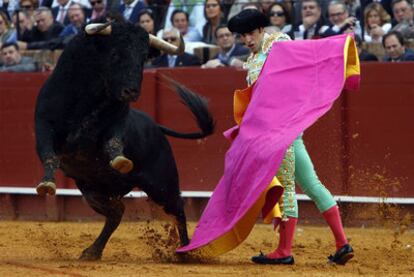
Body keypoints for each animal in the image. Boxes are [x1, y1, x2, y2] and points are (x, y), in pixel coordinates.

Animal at [34, 21, 215, 258]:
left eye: (143, 57)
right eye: (114, 53)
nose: (131, 91)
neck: (87, 101)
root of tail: (156, 126)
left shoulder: (116, 123)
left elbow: (114, 142)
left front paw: (121, 162)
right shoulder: (43, 124)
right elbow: (48, 154)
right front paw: (46, 184)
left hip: (161, 183)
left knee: (177, 208)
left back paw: (184, 252)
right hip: (92, 189)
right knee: (116, 213)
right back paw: (93, 250)